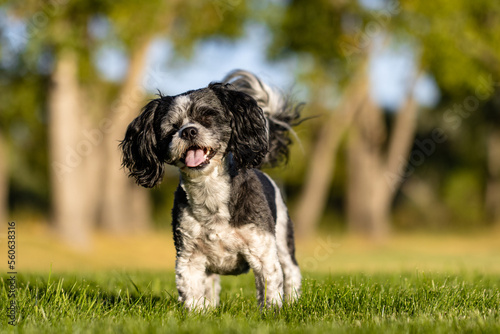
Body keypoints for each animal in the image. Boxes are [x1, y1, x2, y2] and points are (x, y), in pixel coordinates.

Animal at [120, 69, 300, 310]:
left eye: (208, 117)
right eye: (172, 127)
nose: (188, 131)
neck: (209, 194)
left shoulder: (262, 251)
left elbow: (270, 289)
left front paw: (272, 313)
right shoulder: (189, 257)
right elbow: (193, 294)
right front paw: (198, 313)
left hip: (282, 239)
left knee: (291, 272)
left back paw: (293, 302)